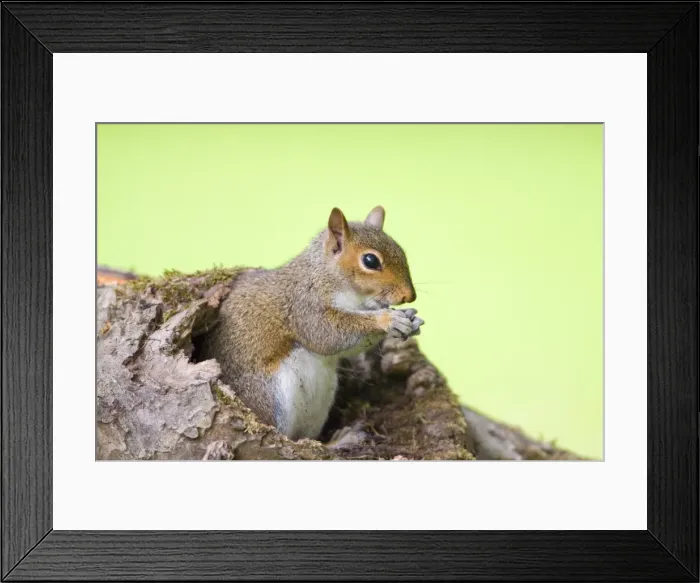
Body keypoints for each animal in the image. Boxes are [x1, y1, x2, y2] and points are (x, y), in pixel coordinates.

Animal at [200, 205, 423, 441]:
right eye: (370, 261)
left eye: (402, 251)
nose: (410, 296)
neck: (327, 275)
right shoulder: (304, 307)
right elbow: (326, 336)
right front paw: (388, 320)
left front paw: (411, 319)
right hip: (272, 396)